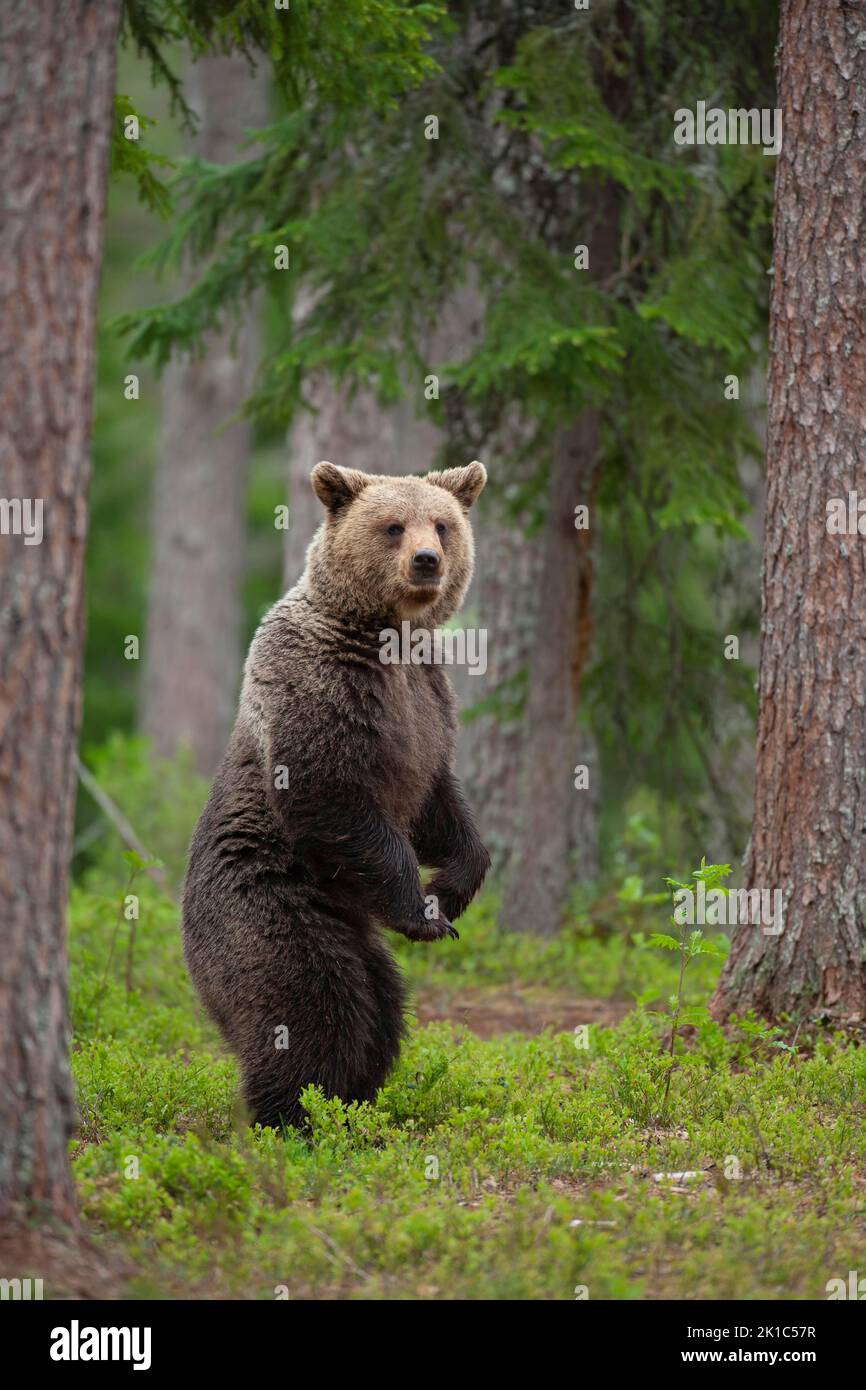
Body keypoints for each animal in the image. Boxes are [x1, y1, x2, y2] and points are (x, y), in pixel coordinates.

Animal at [182, 458, 491, 1129]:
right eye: (393, 525)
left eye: (443, 525)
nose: (427, 560)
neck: (386, 633)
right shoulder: (320, 683)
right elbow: (329, 793)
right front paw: (421, 910)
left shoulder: (428, 698)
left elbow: (439, 803)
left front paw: (450, 892)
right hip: (271, 906)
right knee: (312, 1007)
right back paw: (294, 1115)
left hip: (355, 933)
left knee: (382, 1007)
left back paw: (351, 1105)